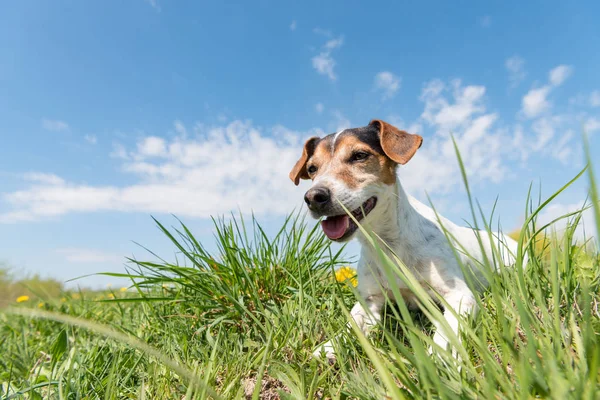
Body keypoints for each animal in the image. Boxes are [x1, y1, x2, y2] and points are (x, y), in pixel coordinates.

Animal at [288, 120, 516, 360]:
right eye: (312, 169)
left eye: (359, 155)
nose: (314, 197)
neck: (387, 243)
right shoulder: (370, 300)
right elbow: (353, 324)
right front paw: (330, 347)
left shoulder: (459, 295)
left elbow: (446, 329)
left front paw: (439, 356)